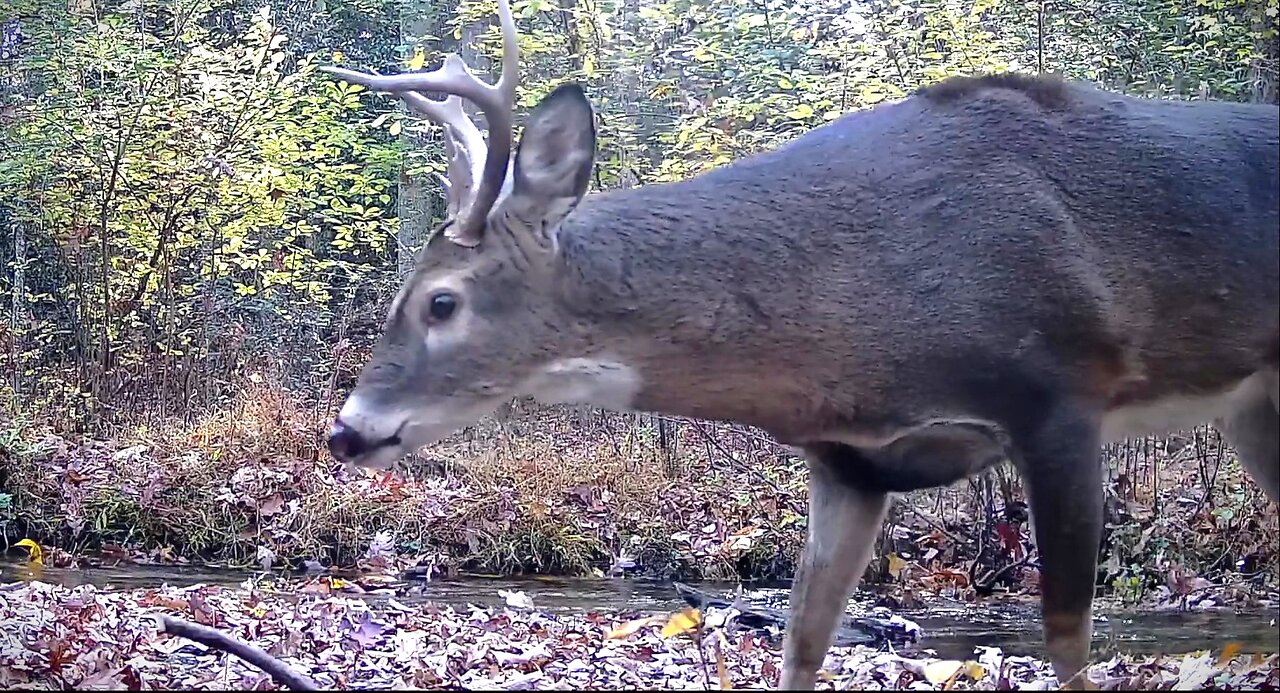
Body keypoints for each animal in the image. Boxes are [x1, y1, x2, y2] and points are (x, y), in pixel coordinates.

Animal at [317, 0, 1269, 681]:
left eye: (441, 302)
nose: (346, 430)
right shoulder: (848, 458)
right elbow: (802, 641)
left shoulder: (1060, 394)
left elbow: (1068, 643)